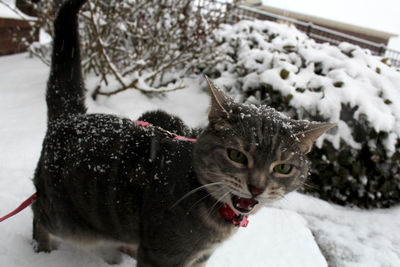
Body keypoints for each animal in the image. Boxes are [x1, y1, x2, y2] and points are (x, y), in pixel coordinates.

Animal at [31, 0, 336, 267]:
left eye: (283, 167)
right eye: (237, 155)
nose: (257, 187)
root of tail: (71, 116)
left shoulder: (200, 257)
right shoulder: (163, 256)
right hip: (67, 218)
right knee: (37, 211)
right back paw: (41, 250)